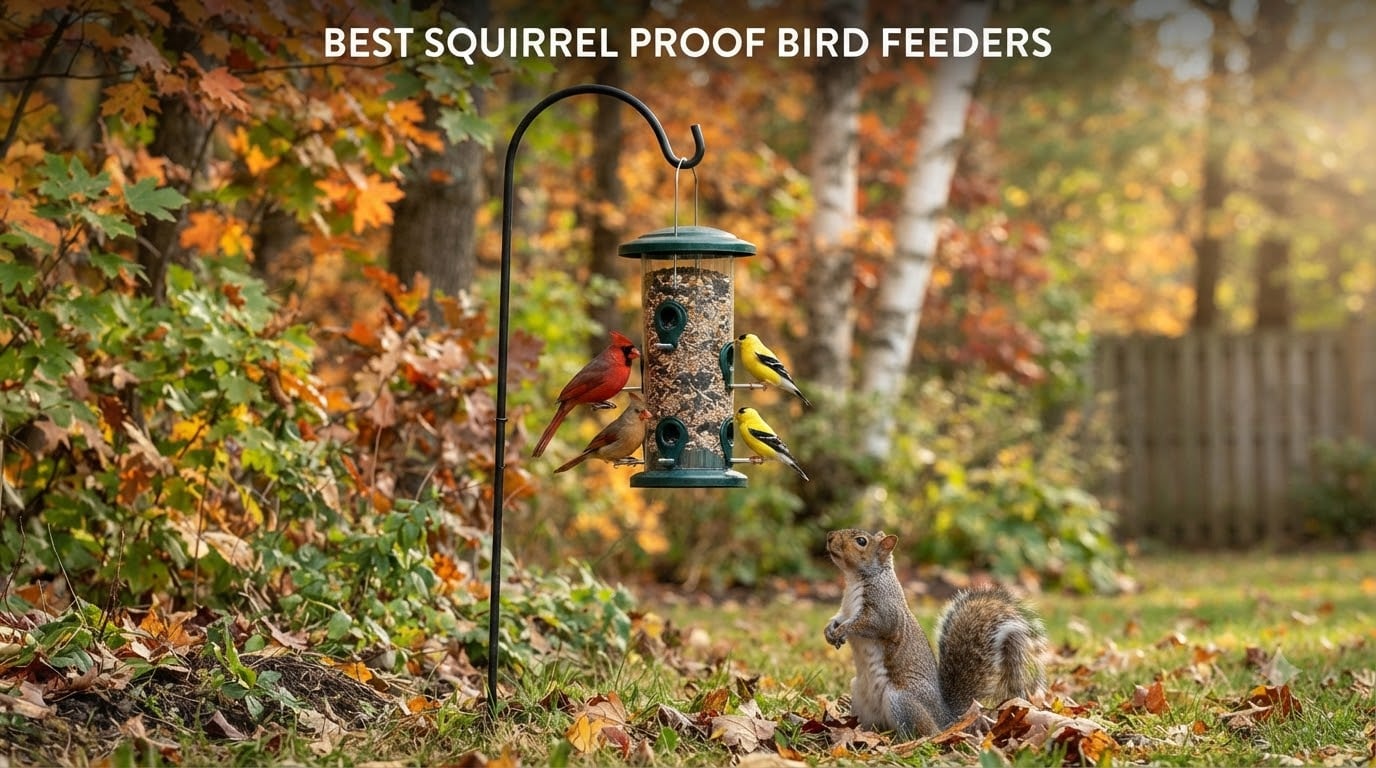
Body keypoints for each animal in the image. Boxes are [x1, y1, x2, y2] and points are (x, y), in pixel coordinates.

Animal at [823, 528, 1047, 738]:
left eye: (861, 541)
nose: (829, 536)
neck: (856, 580)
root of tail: (945, 716)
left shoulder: (884, 610)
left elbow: (871, 625)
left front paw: (843, 630)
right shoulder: (845, 610)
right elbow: (838, 618)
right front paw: (829, 630)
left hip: (901, 701)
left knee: (926, 733)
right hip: (859, 694)